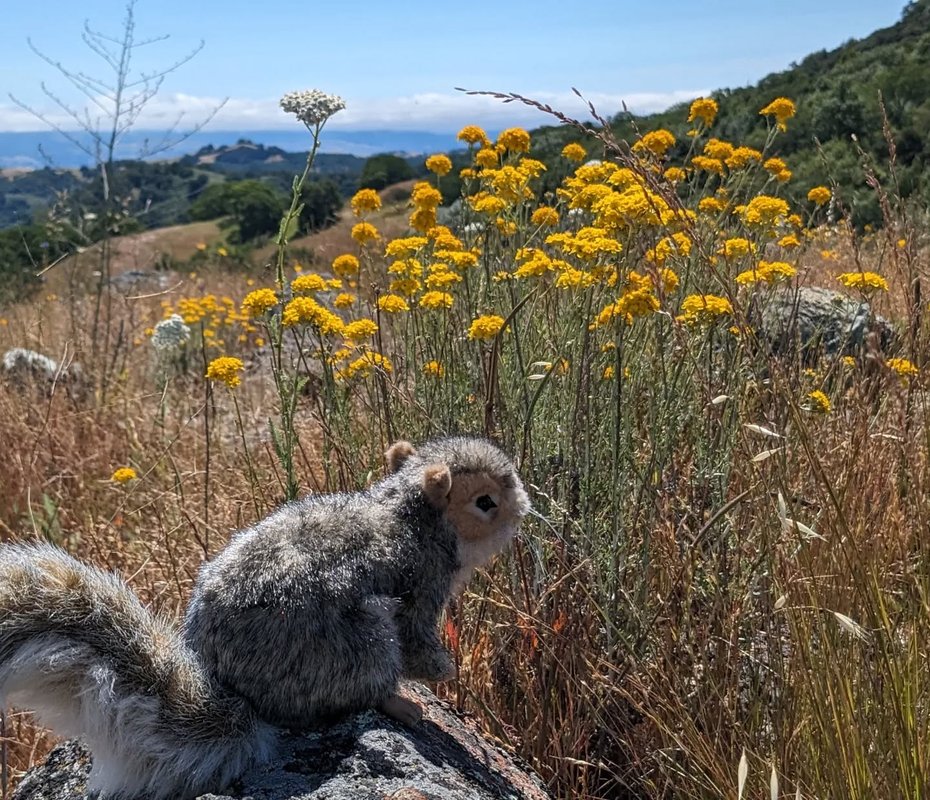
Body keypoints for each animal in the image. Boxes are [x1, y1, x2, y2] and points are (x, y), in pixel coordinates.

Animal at [0, 436, 530, 800]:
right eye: (485, 502)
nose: (524, 510)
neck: (408, 513)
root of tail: (244, 698)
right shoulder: (421, 585)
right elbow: (420, 644)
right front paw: (446, 671)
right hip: (360, 643)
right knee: (357, 692)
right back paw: (401, 704)